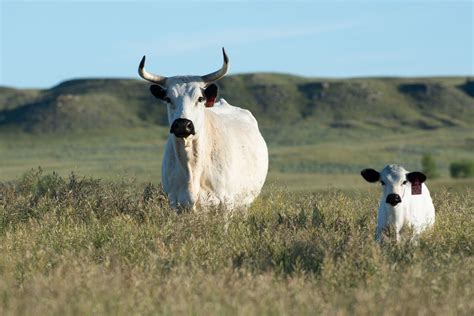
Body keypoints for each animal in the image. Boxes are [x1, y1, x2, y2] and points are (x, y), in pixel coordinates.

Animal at [139, 48, 268, 210]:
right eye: (168, 99)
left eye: (200, 98)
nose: (182, 124)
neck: (191, 166)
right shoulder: (175, 203)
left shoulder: (226, 204)